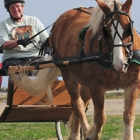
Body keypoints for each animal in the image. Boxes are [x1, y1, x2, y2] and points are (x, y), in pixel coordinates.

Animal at [9, 0, 140, 139]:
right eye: (105, 30)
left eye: (128, 28)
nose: (120, 64)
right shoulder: (96, 86)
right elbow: (99, 118)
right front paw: (90, 133)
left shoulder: (133, 85)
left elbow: (128, 116)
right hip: (67, 74)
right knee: (77, 104)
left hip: (85, 83)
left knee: (81, 104)